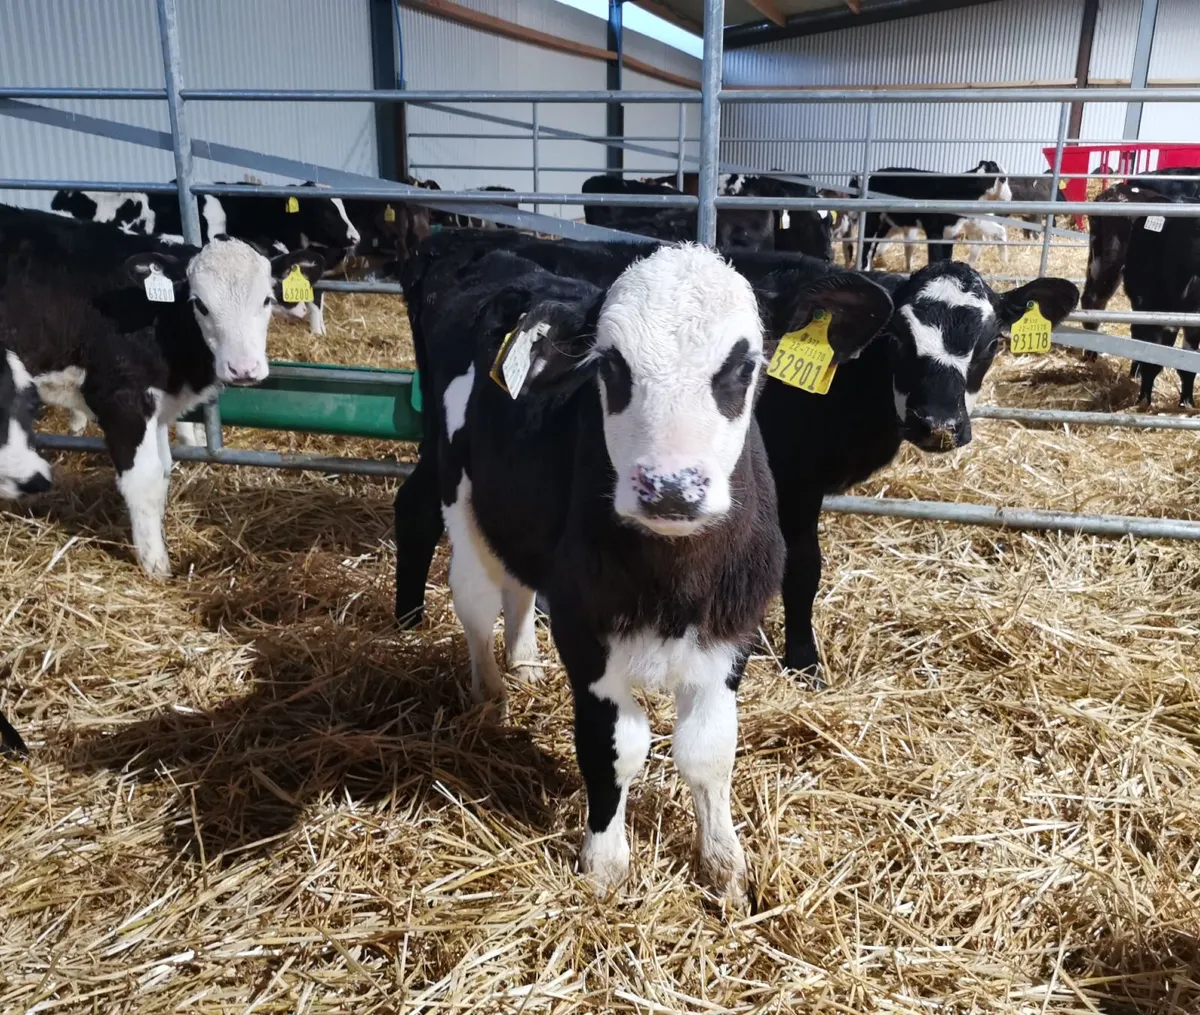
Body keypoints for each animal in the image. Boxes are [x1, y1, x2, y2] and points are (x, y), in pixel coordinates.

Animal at [0, 204, 324, 577]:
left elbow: (164, 470)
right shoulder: (121, 398)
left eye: (267, 300)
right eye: (200, 304)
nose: (243, 369)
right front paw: (156, 566)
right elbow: (144, 482)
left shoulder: (158, 407)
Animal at [392, 231, 1079, 679]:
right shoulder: (794, 485)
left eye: (993, 342)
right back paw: (408, 622)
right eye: (899, 342)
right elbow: (804, 570)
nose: (938, 424)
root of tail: (453, 239)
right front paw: (803, 660)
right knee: (418, 506)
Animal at [404, 240, 892, 900]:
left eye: (745, 364)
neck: (676, 580)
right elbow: (615, 746)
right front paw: (605, 861)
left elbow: (707, 749)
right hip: (459, 499)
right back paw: (492, 698)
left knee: (520, 588)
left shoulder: (733, 628)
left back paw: (524, 663)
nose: (671, 487)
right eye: (610, 365)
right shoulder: (584, 630)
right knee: (476, 601)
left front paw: (724, 862)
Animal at [853, 161, 1012, 265]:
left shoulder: (950, 232)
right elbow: (934, 258)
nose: (1010, 197)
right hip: (872, 218)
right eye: (1003, 179)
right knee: (866, 247)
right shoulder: (934, 230)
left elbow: (946, 257)